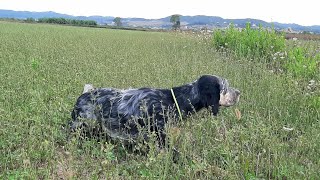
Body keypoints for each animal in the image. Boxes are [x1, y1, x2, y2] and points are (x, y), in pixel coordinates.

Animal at [70, 74, 240, 146]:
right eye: (225, 87)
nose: (239, 93)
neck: (174, 100)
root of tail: (84, 93)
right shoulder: (161, 134)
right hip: (79, 124)